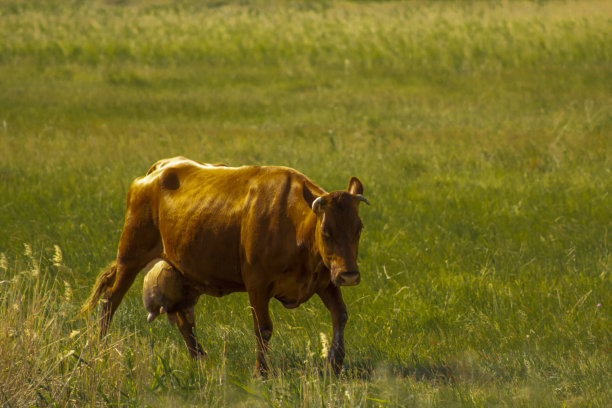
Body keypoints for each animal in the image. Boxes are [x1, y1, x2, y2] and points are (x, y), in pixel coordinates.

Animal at [81, 157, 368, 376]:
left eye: (359, 228)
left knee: (184, 320)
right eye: (326, 230)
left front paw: (335, 364)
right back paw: (101, 348)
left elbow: (340, 315)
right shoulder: (257, 285)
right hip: (130, 255)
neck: (294, 225)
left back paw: (200, 360)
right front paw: (261, 372)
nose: (349, 275)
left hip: (186, 272)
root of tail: (160, 167)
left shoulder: (326, 281)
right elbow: (263, 329)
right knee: (110, 302)